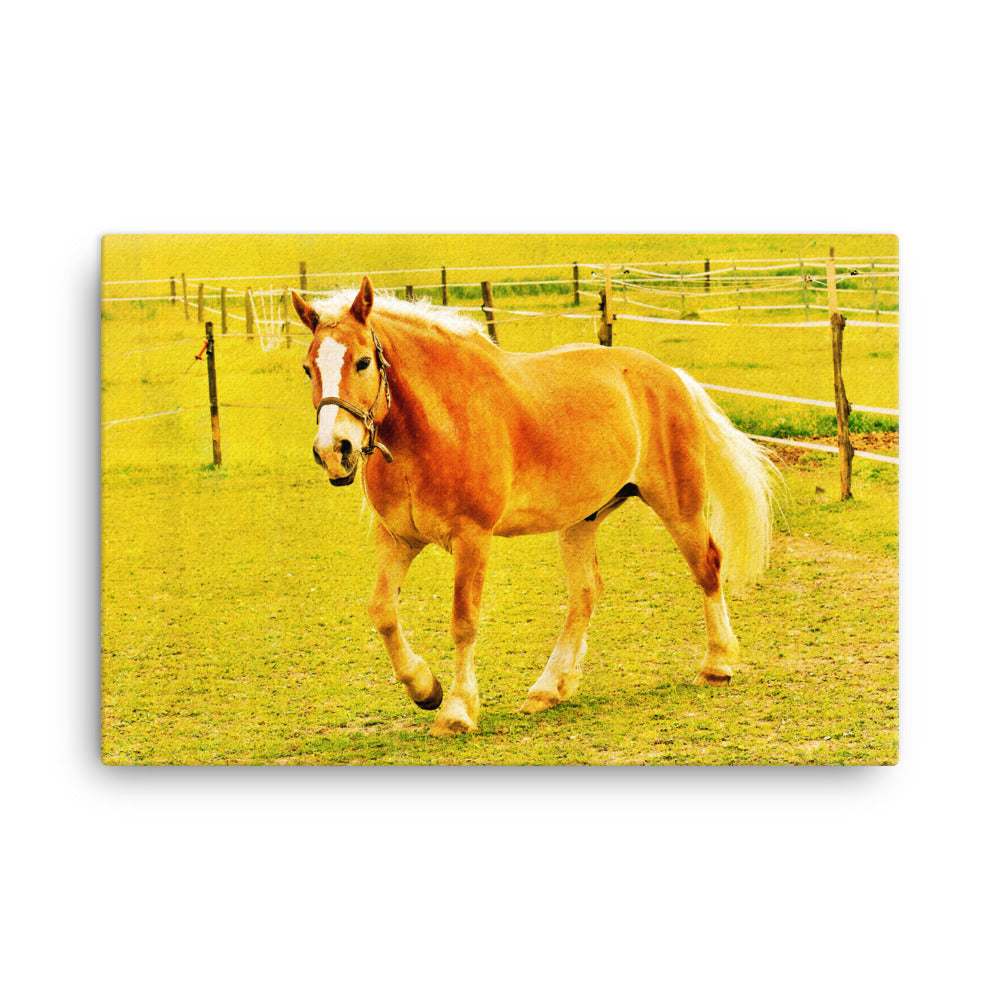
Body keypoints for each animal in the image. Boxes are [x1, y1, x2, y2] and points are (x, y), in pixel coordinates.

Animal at [292, 277, 776, 737]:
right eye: (307, 368)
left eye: (362, 362)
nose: (335, 450)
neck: (435, 425)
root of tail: (670, 375)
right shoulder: (397, 538)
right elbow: (382, 613)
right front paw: (425, 688)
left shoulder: (472, 538)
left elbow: (463, 621)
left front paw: (457, 710)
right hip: (582, 520)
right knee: (586, 593)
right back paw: (549, 688)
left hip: (679, 505)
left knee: (707, 566)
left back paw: (717, 665)